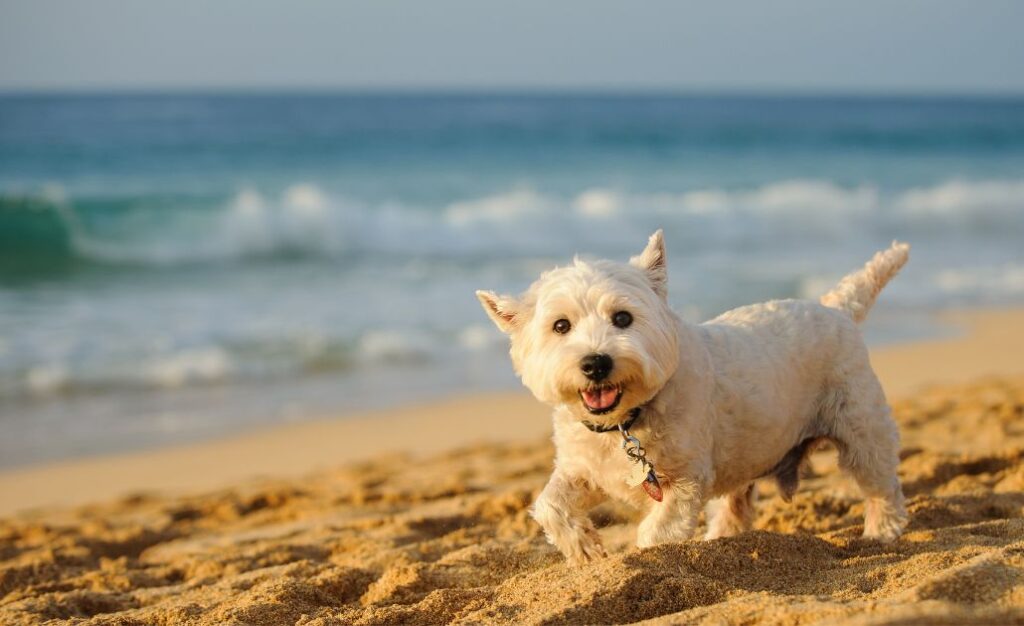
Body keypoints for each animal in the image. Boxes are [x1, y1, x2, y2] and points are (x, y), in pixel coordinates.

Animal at [475, 232, 909, 565]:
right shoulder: (584, 467)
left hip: (860, 426)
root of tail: (836, 309)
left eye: (623, 318)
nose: (596, 363)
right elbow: (550, 505)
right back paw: (720, 540)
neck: (625, 422)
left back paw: (881, 531)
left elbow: (657, 532)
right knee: (735, 506)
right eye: (560, 326)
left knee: (880, 484)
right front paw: (585, 551)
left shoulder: (684, 480)